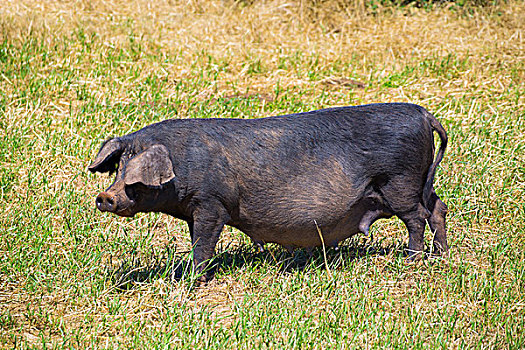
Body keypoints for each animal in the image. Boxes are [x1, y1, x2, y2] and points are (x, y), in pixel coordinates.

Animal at [88, 102, 448, 280]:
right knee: (438, 208)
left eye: (133, 176)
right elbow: (196, 239)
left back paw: (413, 259)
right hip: (421, 182)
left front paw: (191, 280)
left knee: (416, 217)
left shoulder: (211, 203)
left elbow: (204, 241)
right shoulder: (195, 209)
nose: (105, 196)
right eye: (118, 168)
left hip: (400, 182)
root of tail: (423, 114)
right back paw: (441, 254)